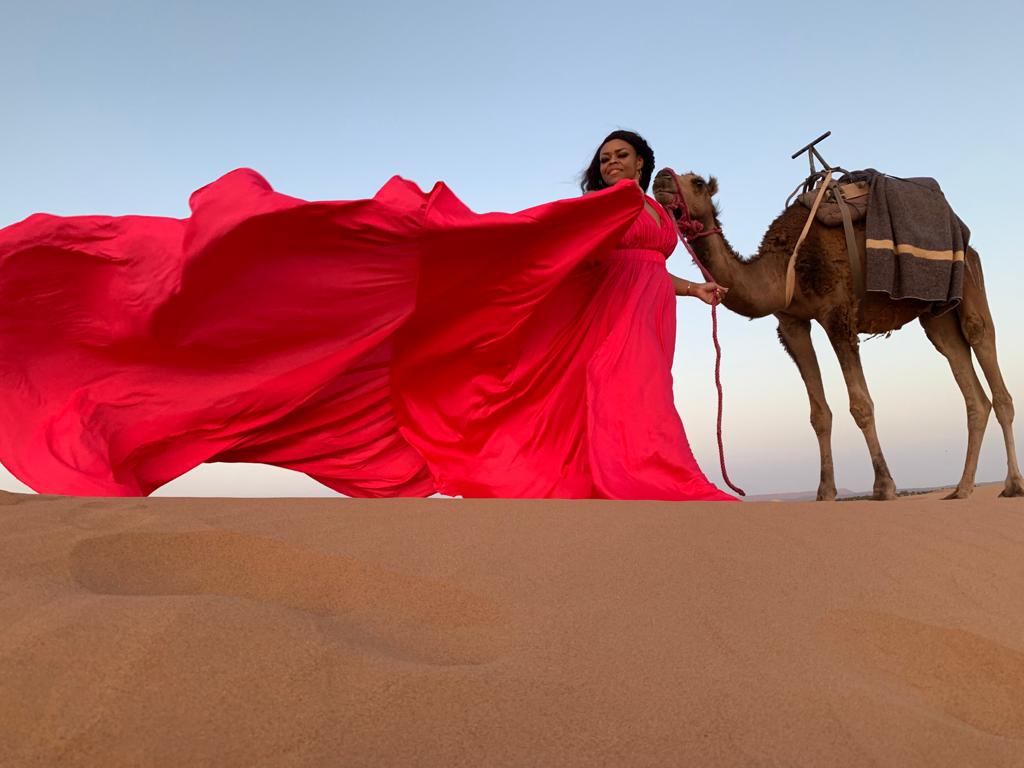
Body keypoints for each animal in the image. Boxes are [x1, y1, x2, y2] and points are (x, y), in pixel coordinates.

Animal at [655, 168, 1024, 501]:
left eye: (696, 182)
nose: (660, 180)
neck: (786, 264)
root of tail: (963, 232)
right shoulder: (792, 324)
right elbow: (819, 414)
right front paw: (825, 491)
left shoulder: (838, 312)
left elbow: (861, 404)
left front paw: (883, 486)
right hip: (935, 313)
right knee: (964, 375)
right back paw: (962, 489)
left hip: (968, 276)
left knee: (983, 343)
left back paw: (1012, 485)